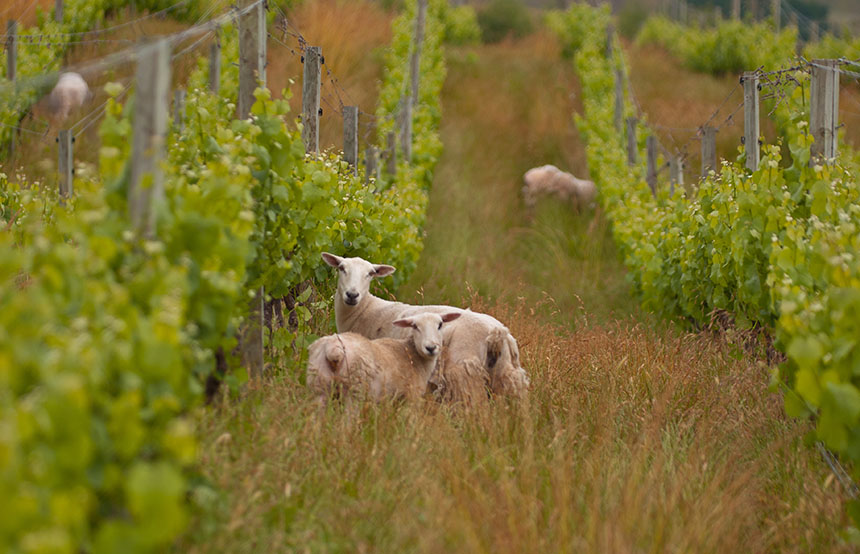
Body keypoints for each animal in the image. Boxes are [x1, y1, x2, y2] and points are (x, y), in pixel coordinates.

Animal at [306, 310, 460, 402]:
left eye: (440, 325)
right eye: (415, 326)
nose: (431, 348)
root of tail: (333, 348)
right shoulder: (411, 397)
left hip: (318, 384)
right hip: (355, 389)